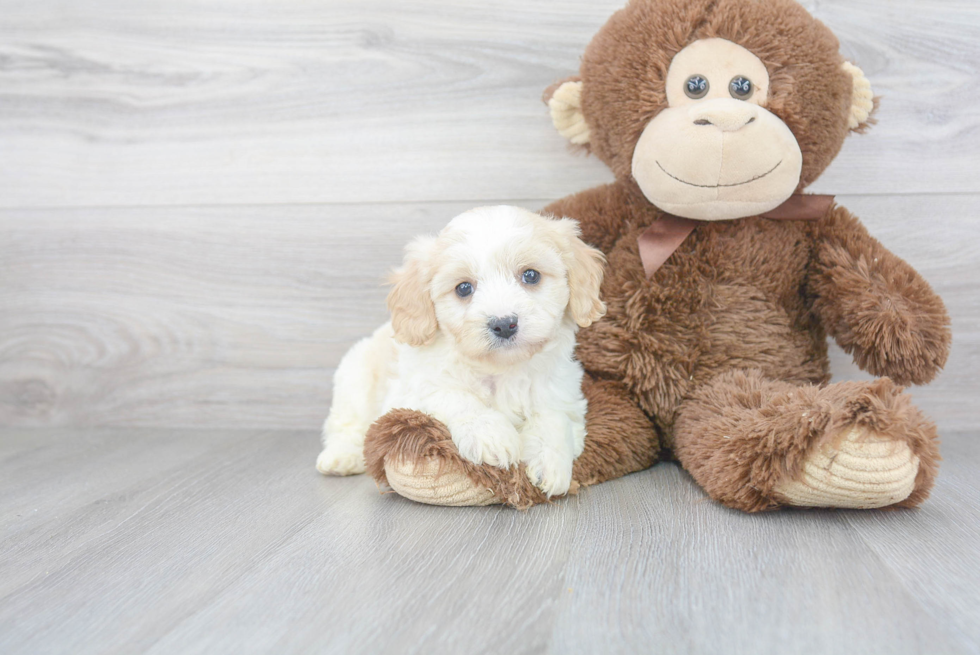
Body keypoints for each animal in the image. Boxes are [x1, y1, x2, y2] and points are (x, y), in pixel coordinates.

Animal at [314, 205, 604, 498]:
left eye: (531, 275)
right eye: (464, 288)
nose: (504, 324)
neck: (501, 369)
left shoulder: (562, 392)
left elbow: (555, 418)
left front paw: (551, 464)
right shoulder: (411, 392)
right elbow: (454, 396)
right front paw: (492, 436)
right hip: (355, 379)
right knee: (346, 426)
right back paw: (341, 458)